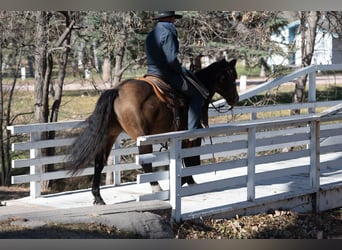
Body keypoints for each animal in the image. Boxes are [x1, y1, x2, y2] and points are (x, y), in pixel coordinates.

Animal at [66, 58, 238, 205]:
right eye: (227, 77)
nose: (235, 99)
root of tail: (117, 90)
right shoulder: (191, 137)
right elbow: (192, 160)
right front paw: (187, 181)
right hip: (142, 137)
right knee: (146, 163)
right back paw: (157, 188)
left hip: (110, 135)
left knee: (99, 162)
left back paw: (98, 197)